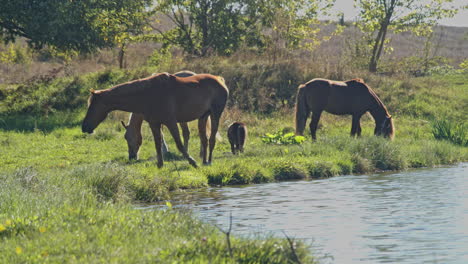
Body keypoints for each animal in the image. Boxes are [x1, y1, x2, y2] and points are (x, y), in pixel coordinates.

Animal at [82, 72, 229, 167]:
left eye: (92, 106)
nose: (84, 127)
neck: (148, 94)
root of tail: (219, 79)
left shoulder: (171, 122)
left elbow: (179, 144)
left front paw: (192, 162)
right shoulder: (154, 123)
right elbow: (158, 144)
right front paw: (160, 164)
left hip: (215, 114)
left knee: (211, 139)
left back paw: (208, 161)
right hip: (203, 117)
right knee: (204, 139)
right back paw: (204, 161)